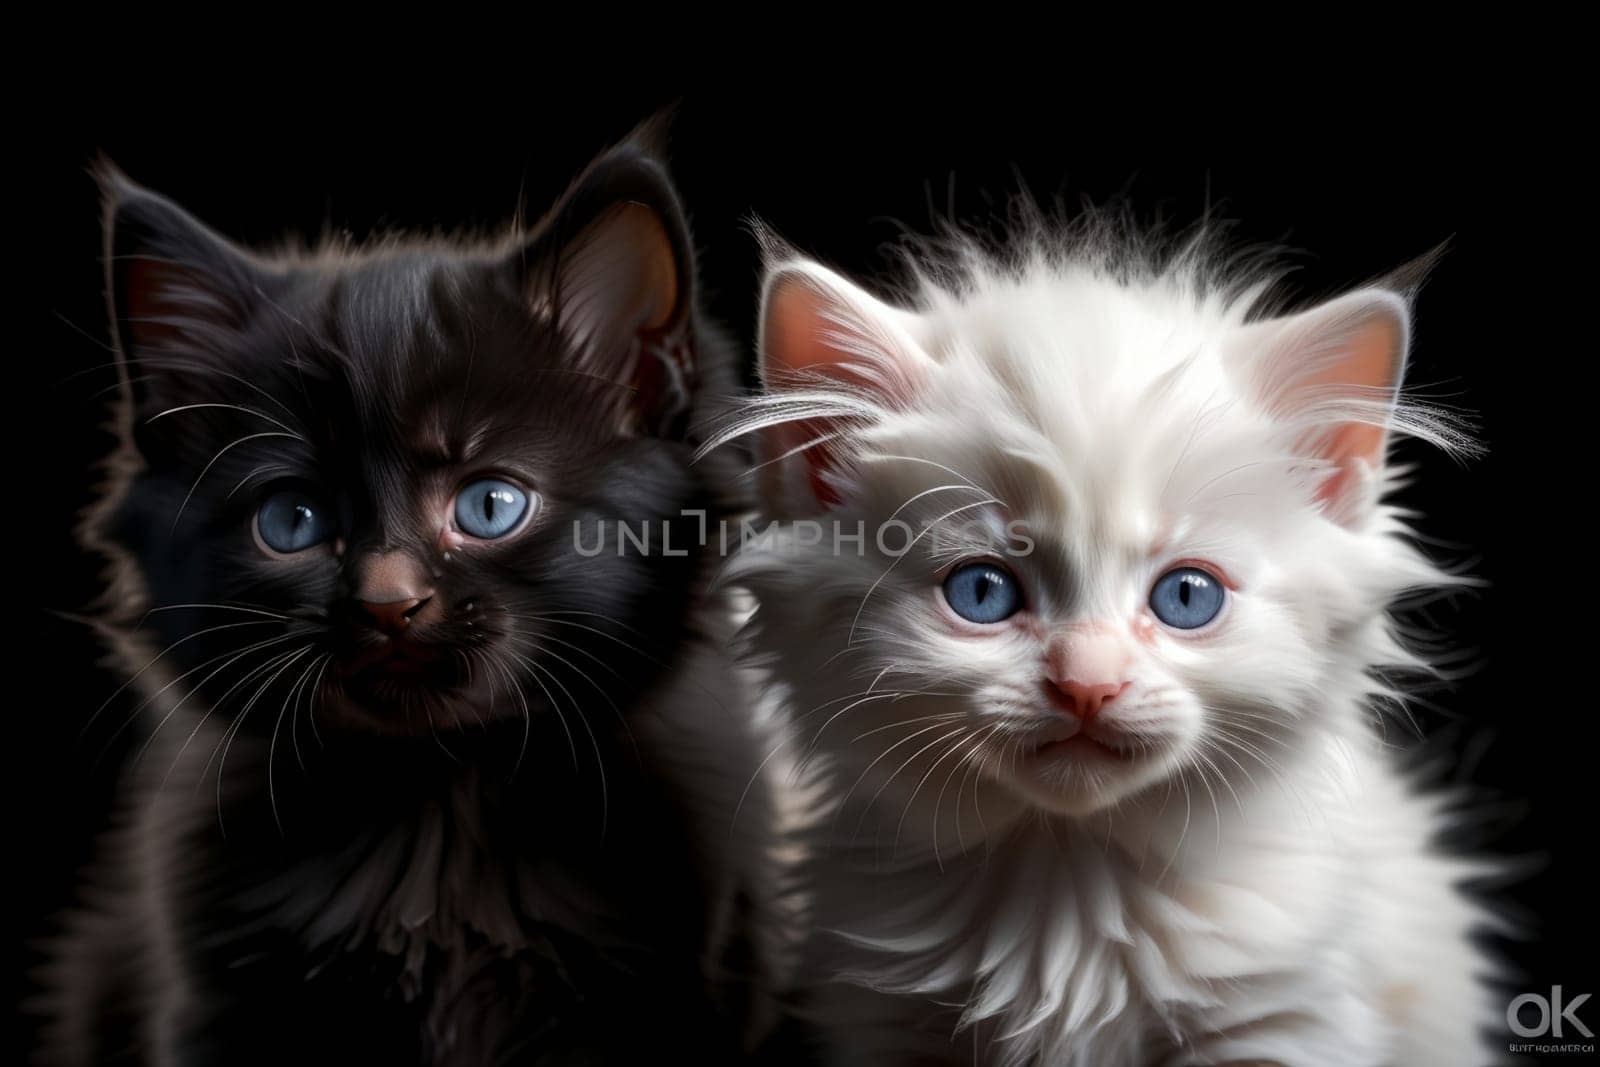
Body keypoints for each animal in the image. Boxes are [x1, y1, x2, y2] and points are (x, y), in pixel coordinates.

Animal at [713, 227, 1497, 1067]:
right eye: (981, 593)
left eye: (1187, 597)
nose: (1086, 683)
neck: (1068, 880)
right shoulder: (884, 1024)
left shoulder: (1285, 1020)